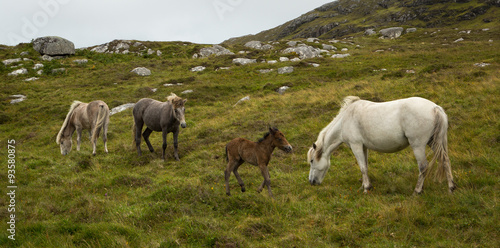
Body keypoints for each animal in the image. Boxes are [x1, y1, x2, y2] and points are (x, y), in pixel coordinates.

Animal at [306, 96, 456, 195]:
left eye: (312, 161)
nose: (311, 182)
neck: (345, 120)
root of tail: (435, 108)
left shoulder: (356, 146)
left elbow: (362, 167)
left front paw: (366, 188)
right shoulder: (363, 147)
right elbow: (365, 166)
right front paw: (364, 185)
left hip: (418, 145)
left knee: (423, 166)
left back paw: (417, 191)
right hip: (435, 142)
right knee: (445, 160)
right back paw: (451, 188)